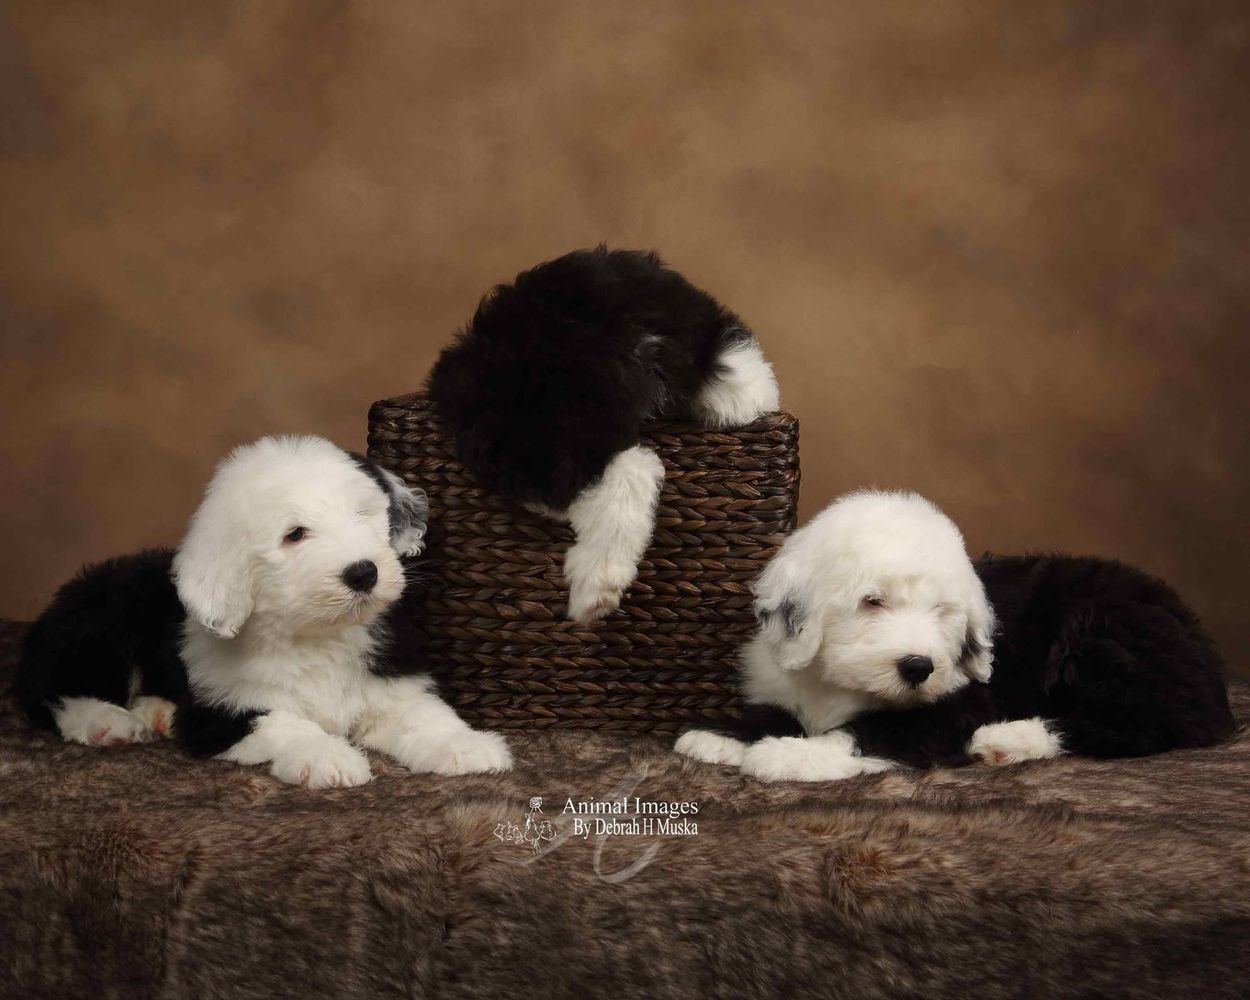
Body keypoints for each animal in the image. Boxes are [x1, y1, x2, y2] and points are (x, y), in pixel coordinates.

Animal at [14, 432, 512, 785]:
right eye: (295, 534)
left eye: (362, 515)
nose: (363, 573)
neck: (318, 634)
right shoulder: (222, 712)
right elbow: (284, 724)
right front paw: (328, 757)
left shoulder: (392, 686)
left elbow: (424, 714)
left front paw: (466, 747)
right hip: (101, 622)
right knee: (50, 690)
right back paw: (105, 721)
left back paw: (154, 712)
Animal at [675, 490, 1230, 780]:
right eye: (872, 601)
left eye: (942, 611)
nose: (919, 667)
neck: (840, 683)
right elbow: (774, 710)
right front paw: (720, 736)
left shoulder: (955, 705)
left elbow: (868, 732)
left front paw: (788, 754)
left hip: (1097, 635)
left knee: (1146, 724)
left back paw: (1006, 740)